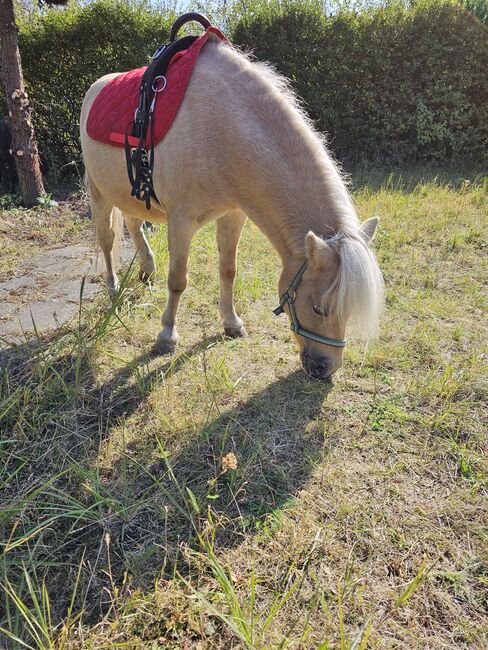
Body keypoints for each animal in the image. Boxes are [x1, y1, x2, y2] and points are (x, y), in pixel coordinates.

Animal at [81, 36, 386, 380]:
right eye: (318, 307)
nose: (325, 369)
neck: (221, 129)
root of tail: (96, 88)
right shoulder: (181, 221)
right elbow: (178, 280)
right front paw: (166, 336)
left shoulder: (233, 215)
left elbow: (228, 270)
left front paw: (231, 323)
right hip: (99, 193)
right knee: (107, 241)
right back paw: (112, 287)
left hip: (130, 196)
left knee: (134, 225)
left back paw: (146, 269)